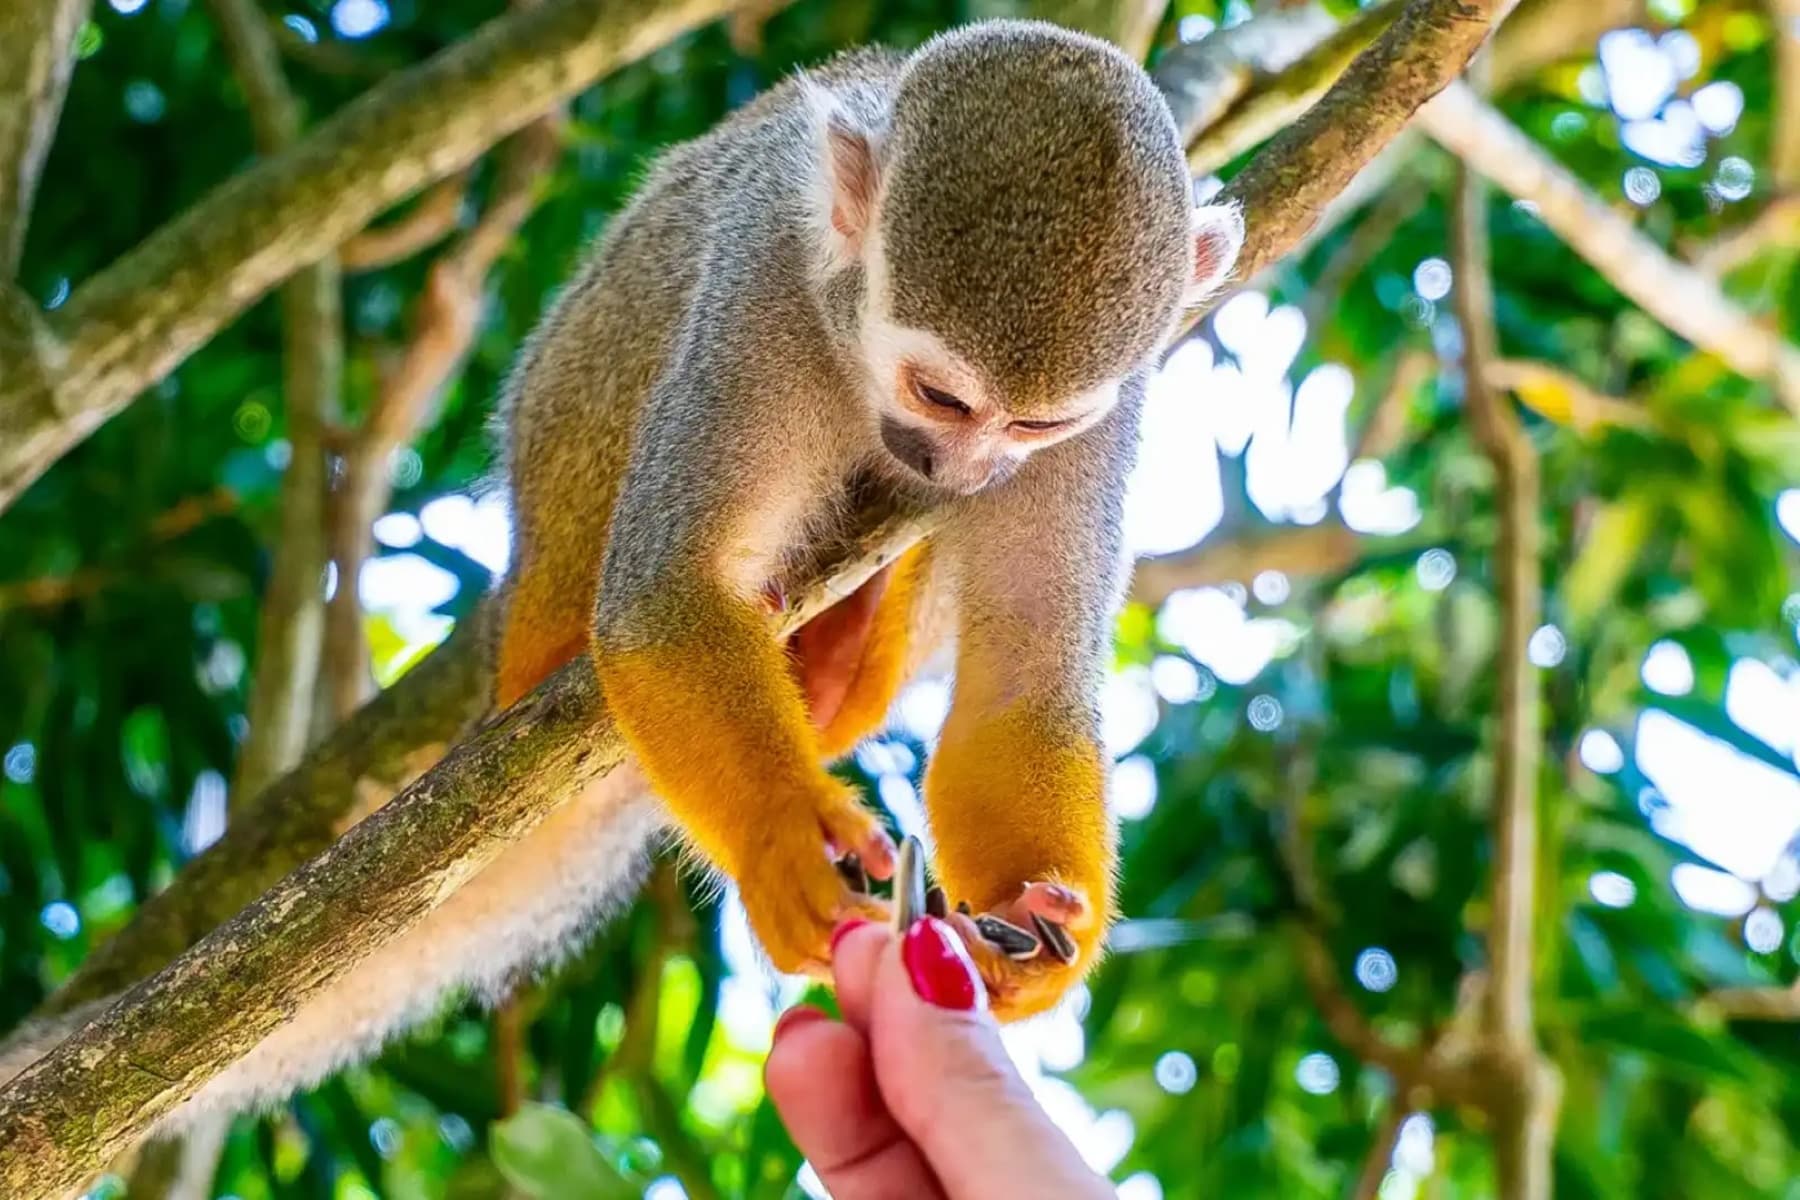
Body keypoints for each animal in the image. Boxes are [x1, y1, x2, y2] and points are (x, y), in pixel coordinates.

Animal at [0, 17, 1241, 1156]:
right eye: (940, 395)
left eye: (1034, 426)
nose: (962, 465)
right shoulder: (762, 285)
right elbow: (661, 599)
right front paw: (788, 838)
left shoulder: (1116, 399)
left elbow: (1026, 680)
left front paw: (1035, 928)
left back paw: (845, 653)